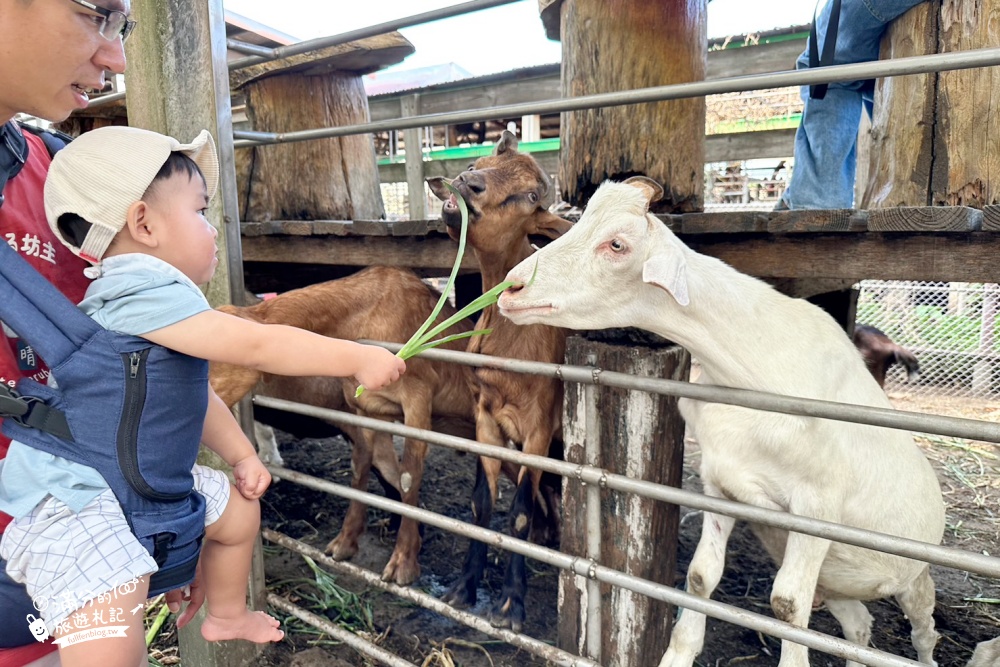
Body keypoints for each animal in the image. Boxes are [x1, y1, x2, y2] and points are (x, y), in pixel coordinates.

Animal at [208, 264, 476, 584]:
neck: (368, 311)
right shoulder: (365, 406)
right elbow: (361, 467)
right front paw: (344, 544)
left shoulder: (418, 399)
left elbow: (409, 475)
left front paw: (403, 563)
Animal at [426, 130, 576, 632]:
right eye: (477, 163)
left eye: (530, 197)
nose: (465, 184)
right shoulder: (486, 420)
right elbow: (482, 505)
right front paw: (464, 586)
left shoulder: (537, 427)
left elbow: (519, 515)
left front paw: (512, 603)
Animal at [498, 177, 944, 667]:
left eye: (617, 244)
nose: (511, 287)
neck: (750, 367)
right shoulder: (721, 485)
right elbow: (700, 576)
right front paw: (677, 654)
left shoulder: (818, 508)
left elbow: (787, 606)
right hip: (837, 582)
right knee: (859, 627)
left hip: (912, 574)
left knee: (925, 630)